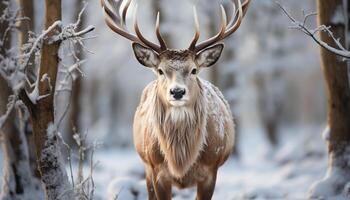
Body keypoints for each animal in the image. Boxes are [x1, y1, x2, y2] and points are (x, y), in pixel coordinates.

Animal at [100, 0, 250, 198]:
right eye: (160, 70)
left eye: (194, 70)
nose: (177, 92)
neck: (180, 161)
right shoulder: (157, 170)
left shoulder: (211, 170)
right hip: (146, 167)